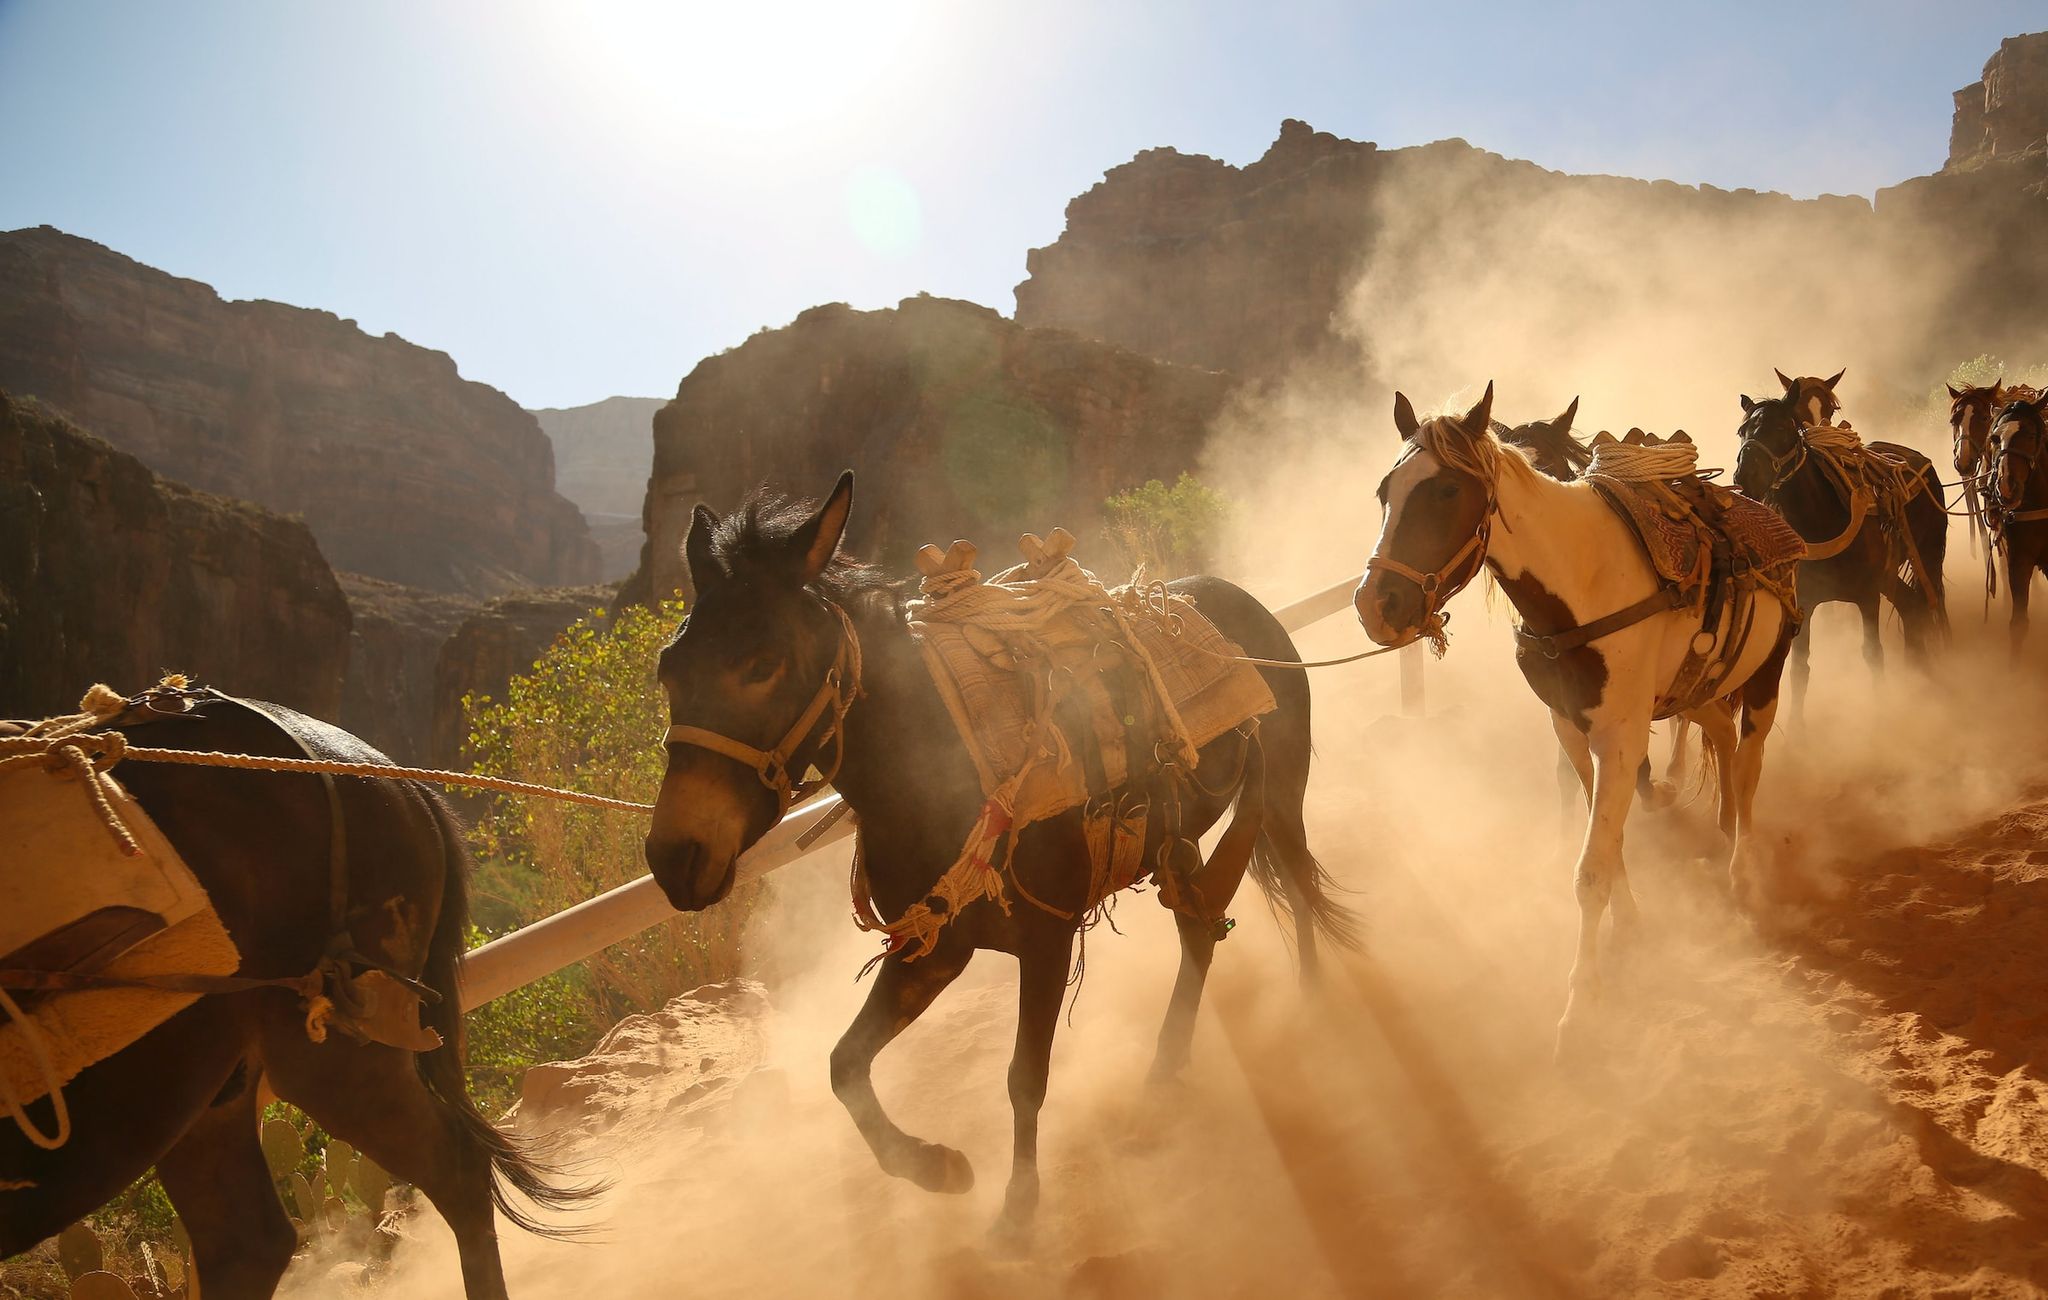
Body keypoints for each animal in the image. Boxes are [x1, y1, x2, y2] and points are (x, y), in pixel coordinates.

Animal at [630, 472, 1351, 1244]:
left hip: (1279, 796)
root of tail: (1239, 601)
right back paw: (1166, 1068)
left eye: (764, 663)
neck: (936, 769)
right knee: (1201, 929)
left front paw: (1018, 1209)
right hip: (1177, 848)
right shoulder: (933, 950)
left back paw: (1309, 998)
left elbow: (1024, 1077)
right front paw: (936, 1168)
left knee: (1295, 886)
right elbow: (844, 1064)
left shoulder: (1048, 938)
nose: (675, 858)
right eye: (668, 670)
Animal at [1359, 386, 1794, 1056]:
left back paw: (1742, 868)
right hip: (1696, 689)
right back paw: (1721, 830)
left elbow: (1591, 868)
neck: (1582, 586)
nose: (1375, 605)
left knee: (1749, 768)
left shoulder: (1620, 738)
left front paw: (1580, 1006)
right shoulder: (1569, 728)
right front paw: (1631, 924)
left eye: (1447, 490)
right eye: (1386, 490)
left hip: (1766, 676)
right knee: (1721, 738)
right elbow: (1607, 844)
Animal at [1736, 391, 1957, 716]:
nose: (1745, 476)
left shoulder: (1867, 596)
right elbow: (1799, 667)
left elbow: (1873, 654)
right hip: (1888, 577)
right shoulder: (1806, 602)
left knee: (1929, 605)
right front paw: (1796, 726)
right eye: (1742, 431)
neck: (1822, 518)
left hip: (1926, 558)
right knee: (1911, 606)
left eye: (1781, 428)